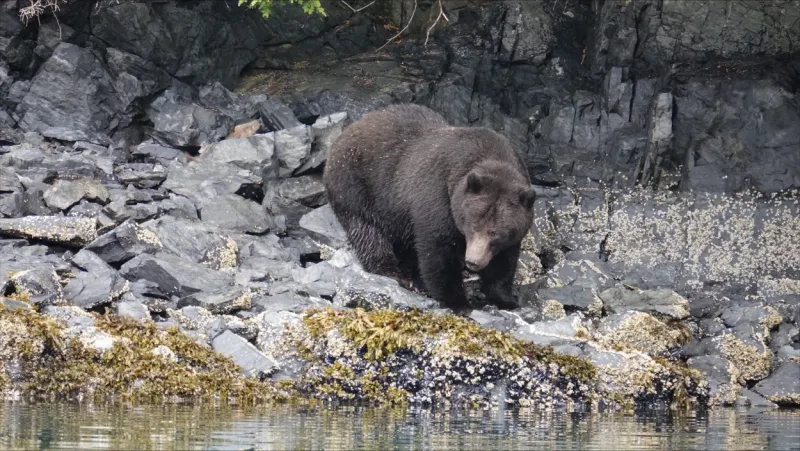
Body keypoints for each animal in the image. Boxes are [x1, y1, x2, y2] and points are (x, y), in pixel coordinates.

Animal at [322, 104, 536, 312]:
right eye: (472, 227)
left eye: (496, 233)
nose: (473, 262)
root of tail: (349, 129)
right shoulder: (438, 195)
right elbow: (438, 251)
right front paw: (458, 302)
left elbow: (504, 261)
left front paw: (505, 299)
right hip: (357, 185)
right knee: (367, 231)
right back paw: (394, 273)